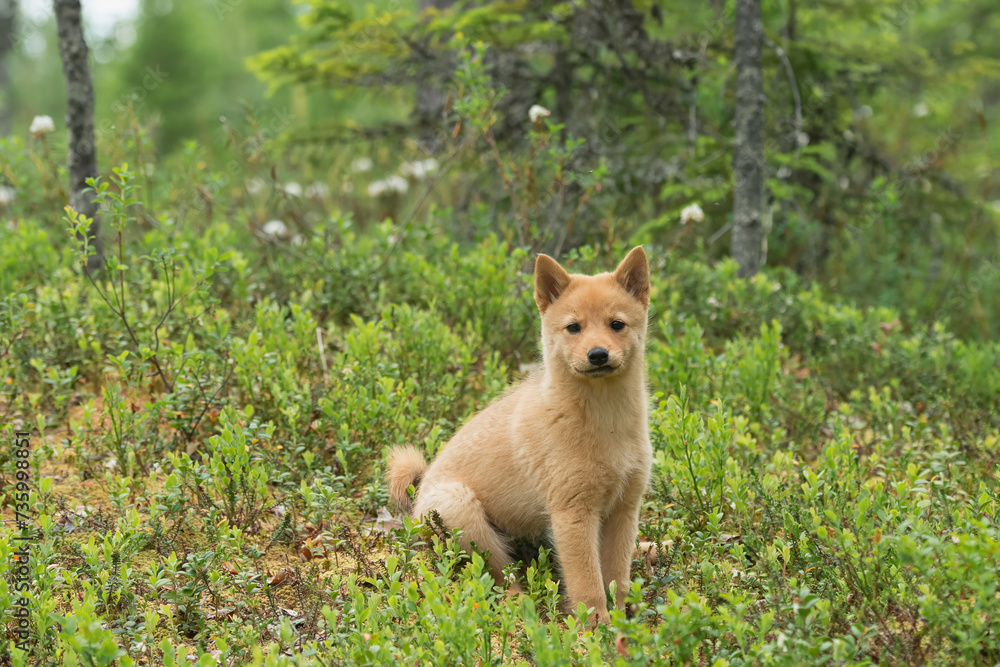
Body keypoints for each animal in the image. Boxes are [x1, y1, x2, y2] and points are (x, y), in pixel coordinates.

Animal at [386, 247, 652, 628]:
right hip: (462, 511)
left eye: (617, 324)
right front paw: (594, 626)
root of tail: (419, 493)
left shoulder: (625, 508)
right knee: (496, 577)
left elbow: (618, 575)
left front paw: (621, 620)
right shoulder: (572, 513)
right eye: (574, 327)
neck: (605, 420)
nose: (598, 355)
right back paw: (520, 608)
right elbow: (587, 582)